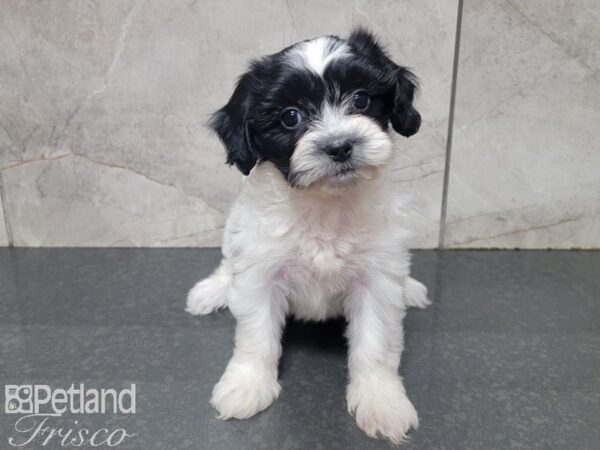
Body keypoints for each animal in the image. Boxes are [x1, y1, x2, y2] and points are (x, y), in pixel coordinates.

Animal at [188, 29, 432, 444]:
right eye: (291, 117)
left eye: (361, 99)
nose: (339, 146)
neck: (323, 204)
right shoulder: (259, 270)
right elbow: (256, 335)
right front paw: (246, 385)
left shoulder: (377, 278)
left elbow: (376, 342)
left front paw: (381, 401)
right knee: (228, 263)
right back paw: (212, 290)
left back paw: (411, 288)